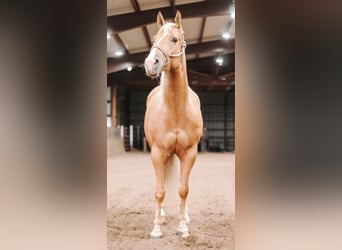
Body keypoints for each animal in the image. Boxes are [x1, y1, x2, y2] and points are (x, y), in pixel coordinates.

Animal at [144, 11, 203, 238]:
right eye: (154, 39)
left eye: (175, 39)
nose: (150, 63)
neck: (176, 110)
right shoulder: (158, 153)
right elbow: (160, 192)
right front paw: (156, 229)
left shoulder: (189, 153)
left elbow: (183, 189)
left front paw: (182, 227)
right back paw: (161, 216)